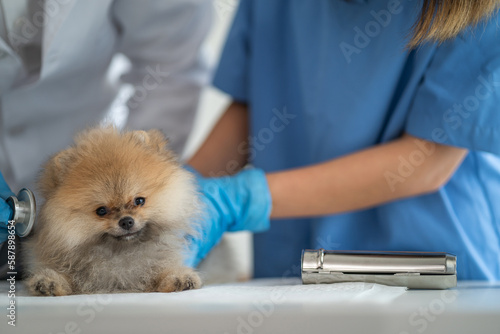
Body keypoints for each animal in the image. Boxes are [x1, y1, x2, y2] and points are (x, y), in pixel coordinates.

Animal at [23, 127, 201, 294]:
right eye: (101, 211)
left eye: (139, 201)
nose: (126, 221)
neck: (121, 253)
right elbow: (63, 275)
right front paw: (49, 281)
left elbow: (163, 271)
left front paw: (179, 278)